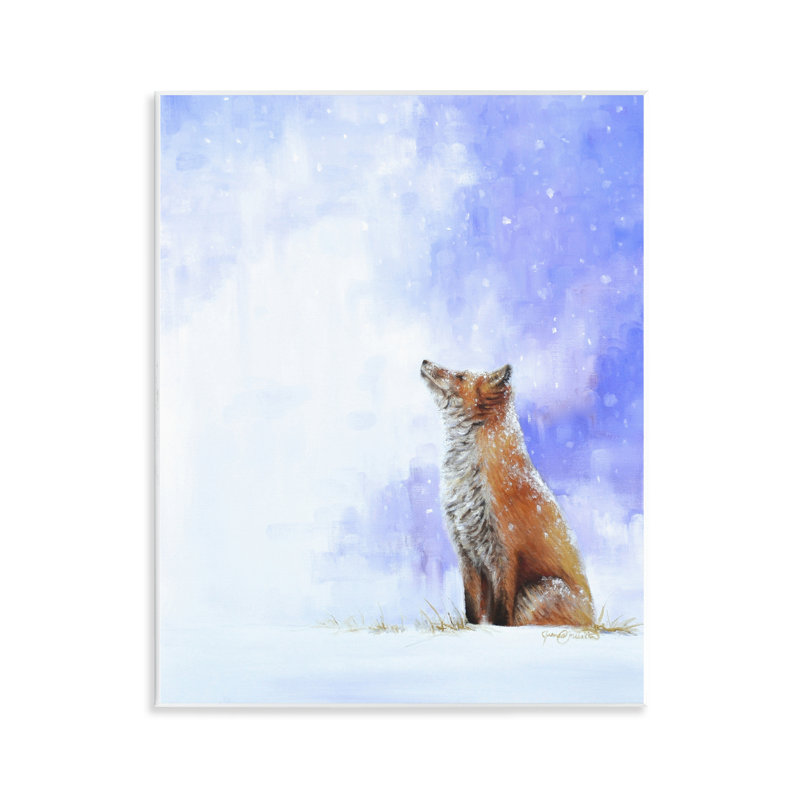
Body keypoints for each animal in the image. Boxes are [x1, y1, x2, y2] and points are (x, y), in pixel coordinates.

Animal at [420, 359, 595, 627]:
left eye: (460, 376)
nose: (425, 361)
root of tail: (595, 620)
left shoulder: (505, 552)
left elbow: (502, 613)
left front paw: (499, 632)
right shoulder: (467, 552)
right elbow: (472, 608)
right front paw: (473, 629)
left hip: (535, 592)